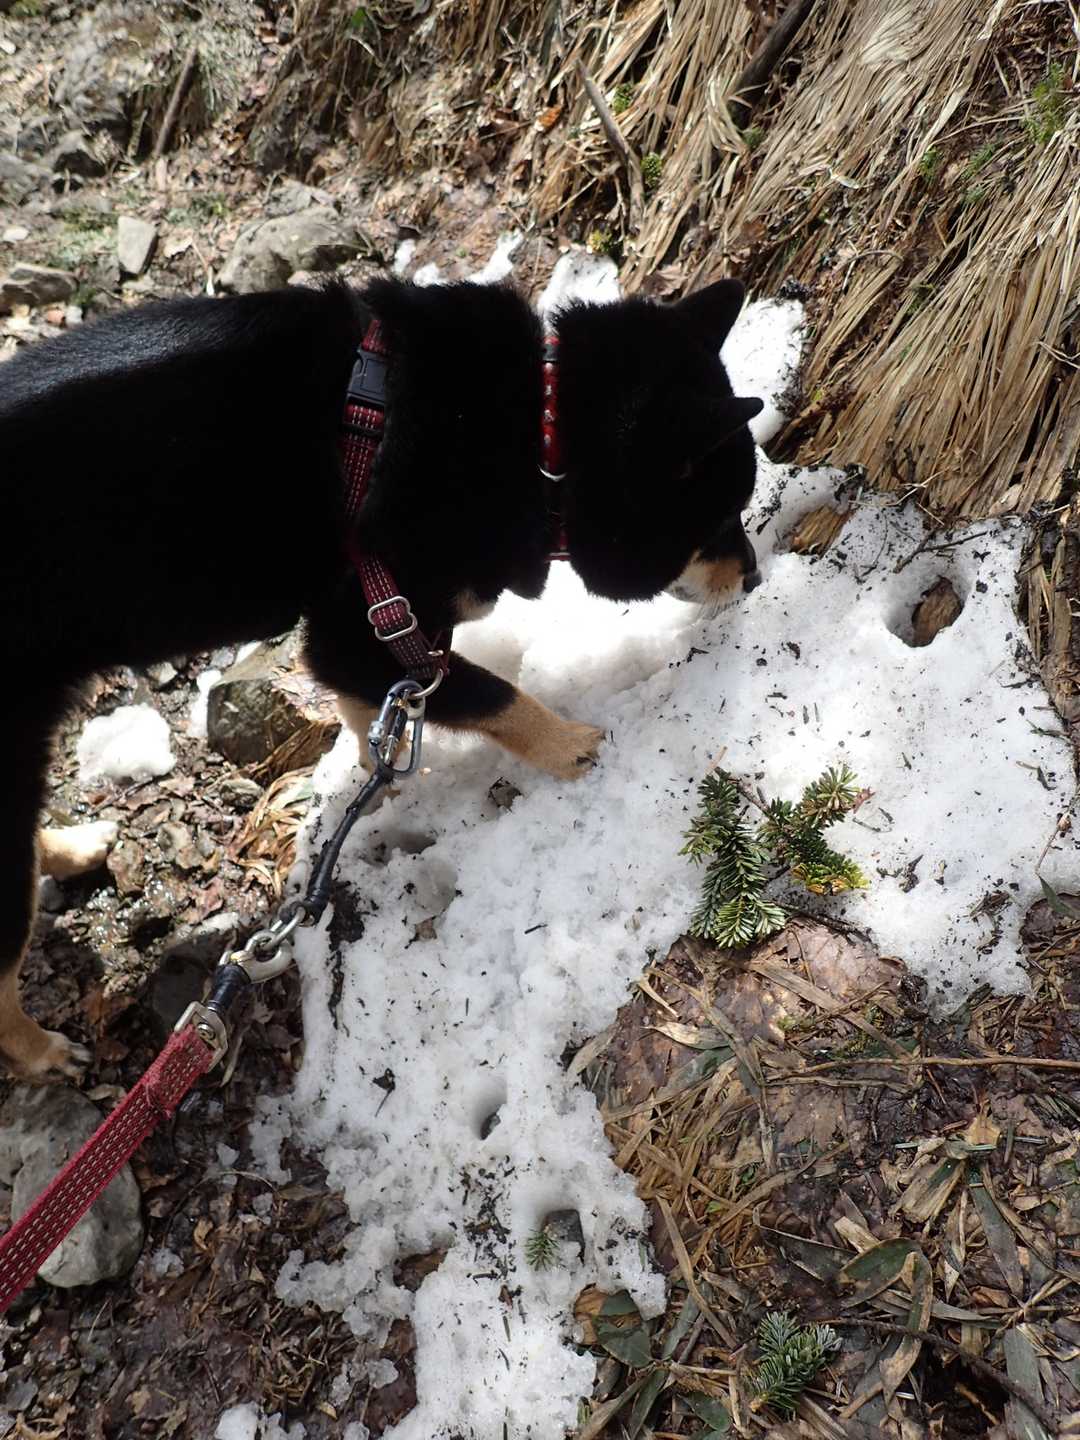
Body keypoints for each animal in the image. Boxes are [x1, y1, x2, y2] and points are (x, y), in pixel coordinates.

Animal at [0, 273, 763, 1079]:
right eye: (719, 522)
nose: (755, 575)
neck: (536, 429)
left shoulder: (361, 635)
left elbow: (382, 710)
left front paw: (381, 776)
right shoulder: (369, 628)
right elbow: (486, 692)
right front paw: (568, 746)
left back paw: (72, 847)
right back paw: (44, 1051)